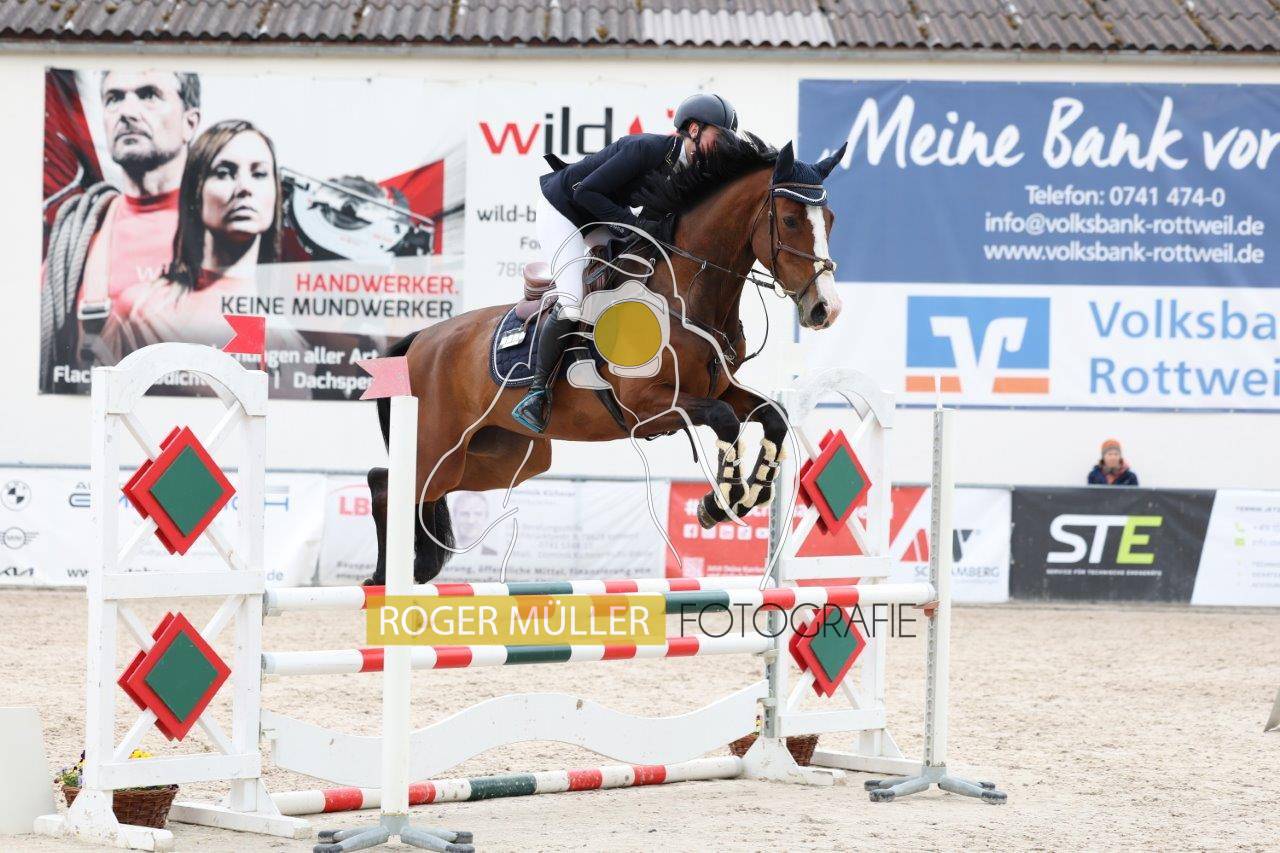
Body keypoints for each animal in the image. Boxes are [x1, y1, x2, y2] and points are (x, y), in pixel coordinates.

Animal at [367, 134, 848, 585]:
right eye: (790, 219)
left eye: (830, 220)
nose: (825, 309)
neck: (685, 295)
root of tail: (421, 340)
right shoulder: (647, 405)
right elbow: (725, 419)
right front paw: (719, 502)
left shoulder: (719, 387)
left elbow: (773, 417)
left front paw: (752, 495)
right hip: (439, 444)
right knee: (388, 484)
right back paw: (381, 576)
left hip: (502, 457)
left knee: (408, 486)